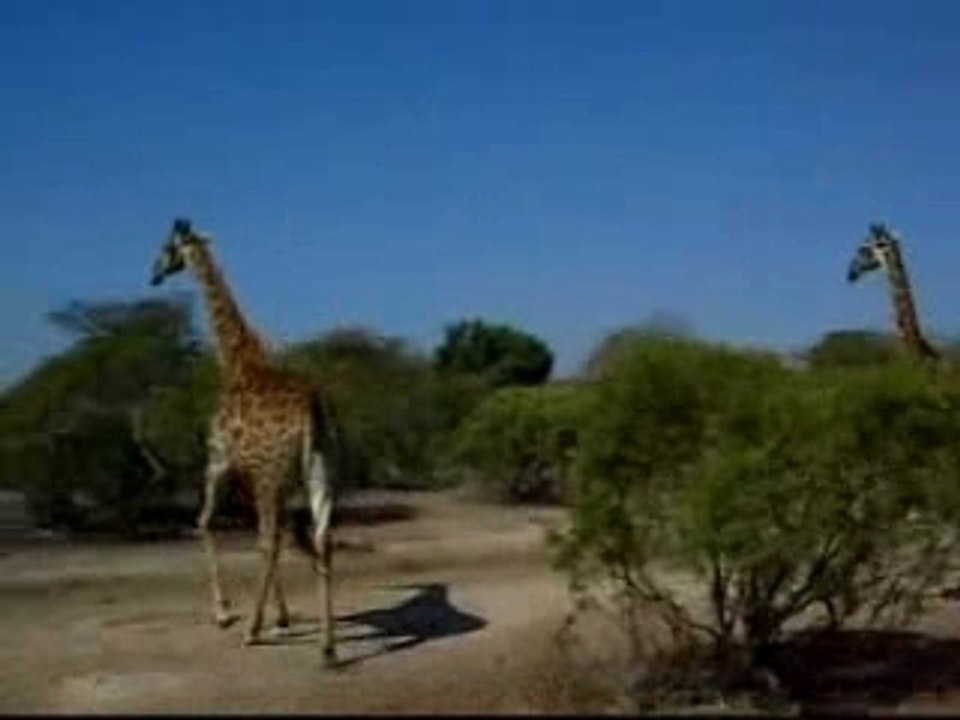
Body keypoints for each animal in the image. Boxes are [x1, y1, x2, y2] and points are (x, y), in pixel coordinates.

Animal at [149, 218, 339, 664]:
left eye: (166, 249)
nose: (153, 275)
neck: (237, 361)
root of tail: (312, 413)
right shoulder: (262, 477)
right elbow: (266, 538)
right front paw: (281, 617)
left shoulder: (220, 462)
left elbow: (205, 523)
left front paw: (225, 613)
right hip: (319, 471)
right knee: (322, 538)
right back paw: (328, 647)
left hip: (270, 476)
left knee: (272, 541)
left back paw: (251, 631)